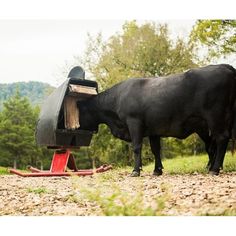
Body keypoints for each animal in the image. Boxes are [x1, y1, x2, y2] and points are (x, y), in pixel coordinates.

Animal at [78, 63, 236, 176]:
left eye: (80, 111)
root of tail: (225, 66)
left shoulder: (134, 122)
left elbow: (137, 147)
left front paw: (135, 171)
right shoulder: (153, 129)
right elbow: (155, 150)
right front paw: (157, 170)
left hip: (216, 117)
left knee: (221, 139)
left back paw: (214, 169)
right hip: (206, 125)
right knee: (212, 145)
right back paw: (213, 167)